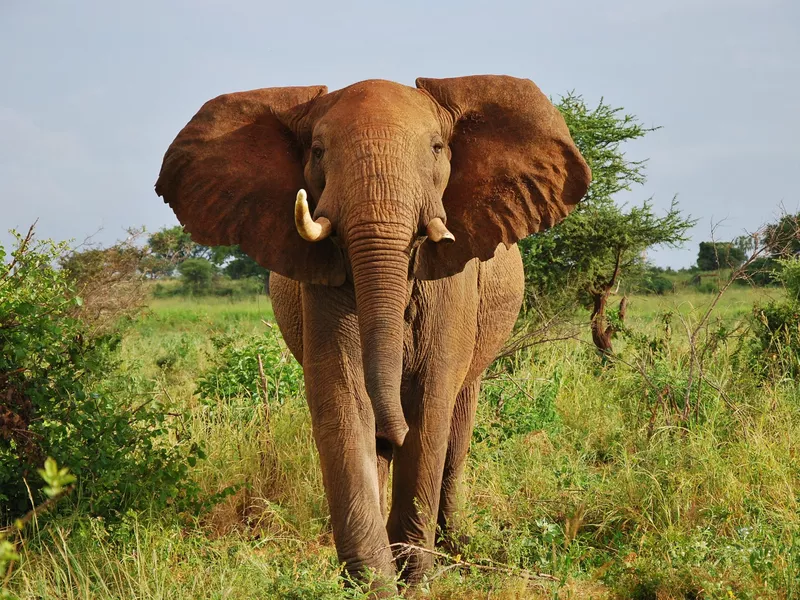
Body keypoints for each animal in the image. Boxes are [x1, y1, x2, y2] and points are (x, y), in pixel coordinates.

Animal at [156, 74, 592, 592]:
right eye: (318, 151)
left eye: (437, 148)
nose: (392, 430)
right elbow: (343, 397)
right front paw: (373, 584)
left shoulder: (452, 280)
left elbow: (430, 402)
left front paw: (415, 577)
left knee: (457, 423)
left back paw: (452, 545)